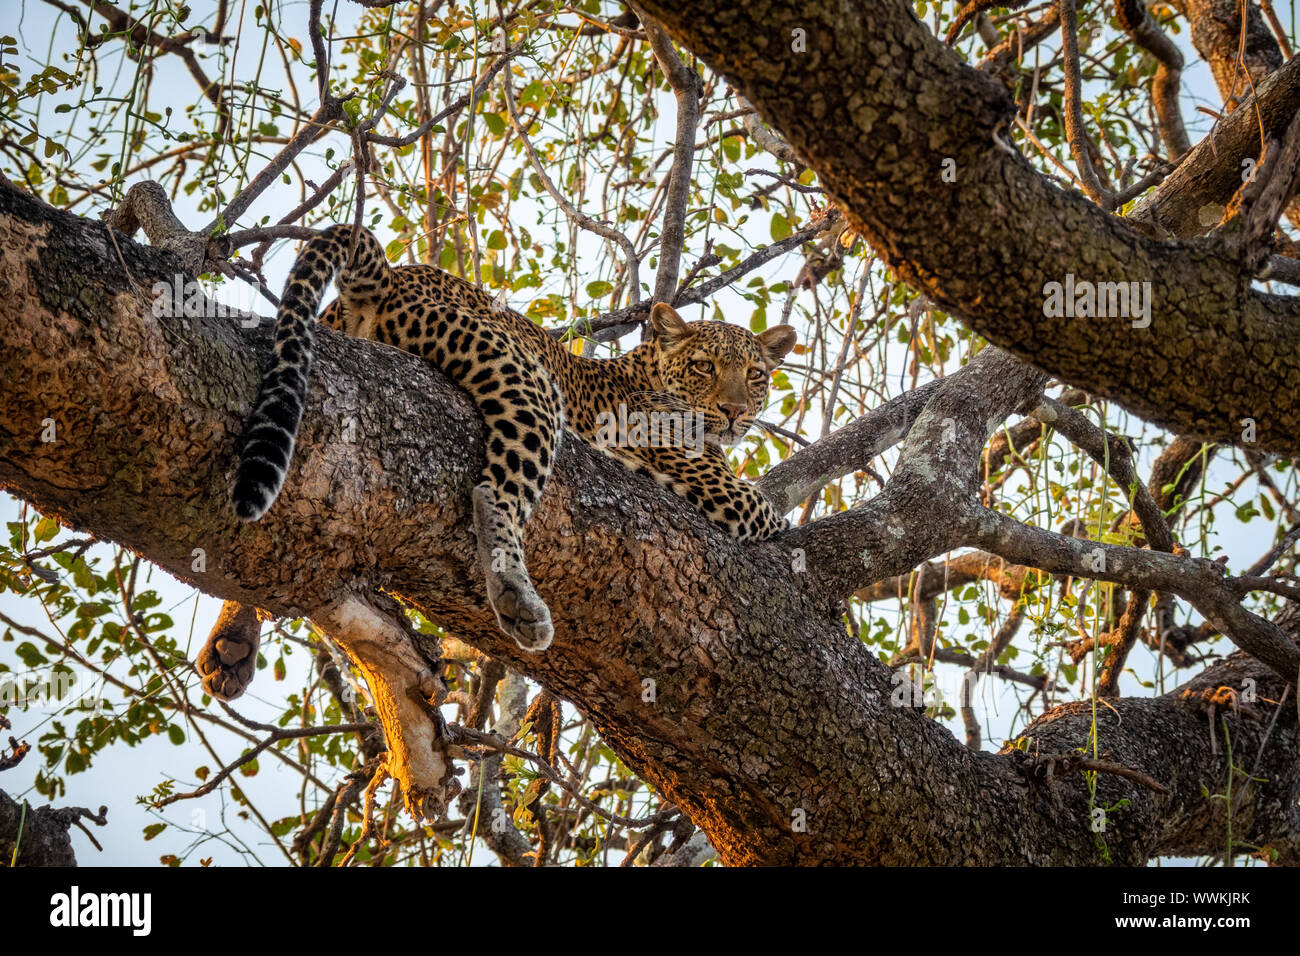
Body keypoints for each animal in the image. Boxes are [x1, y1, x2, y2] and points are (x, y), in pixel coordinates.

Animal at [230, 223, 795, 658]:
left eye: (756, 375)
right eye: (704, 367)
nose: (735, 411)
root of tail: (394, 274)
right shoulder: (724, 491)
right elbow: (772, 516)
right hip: (525, 381)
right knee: (493, 491)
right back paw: (517, 600)